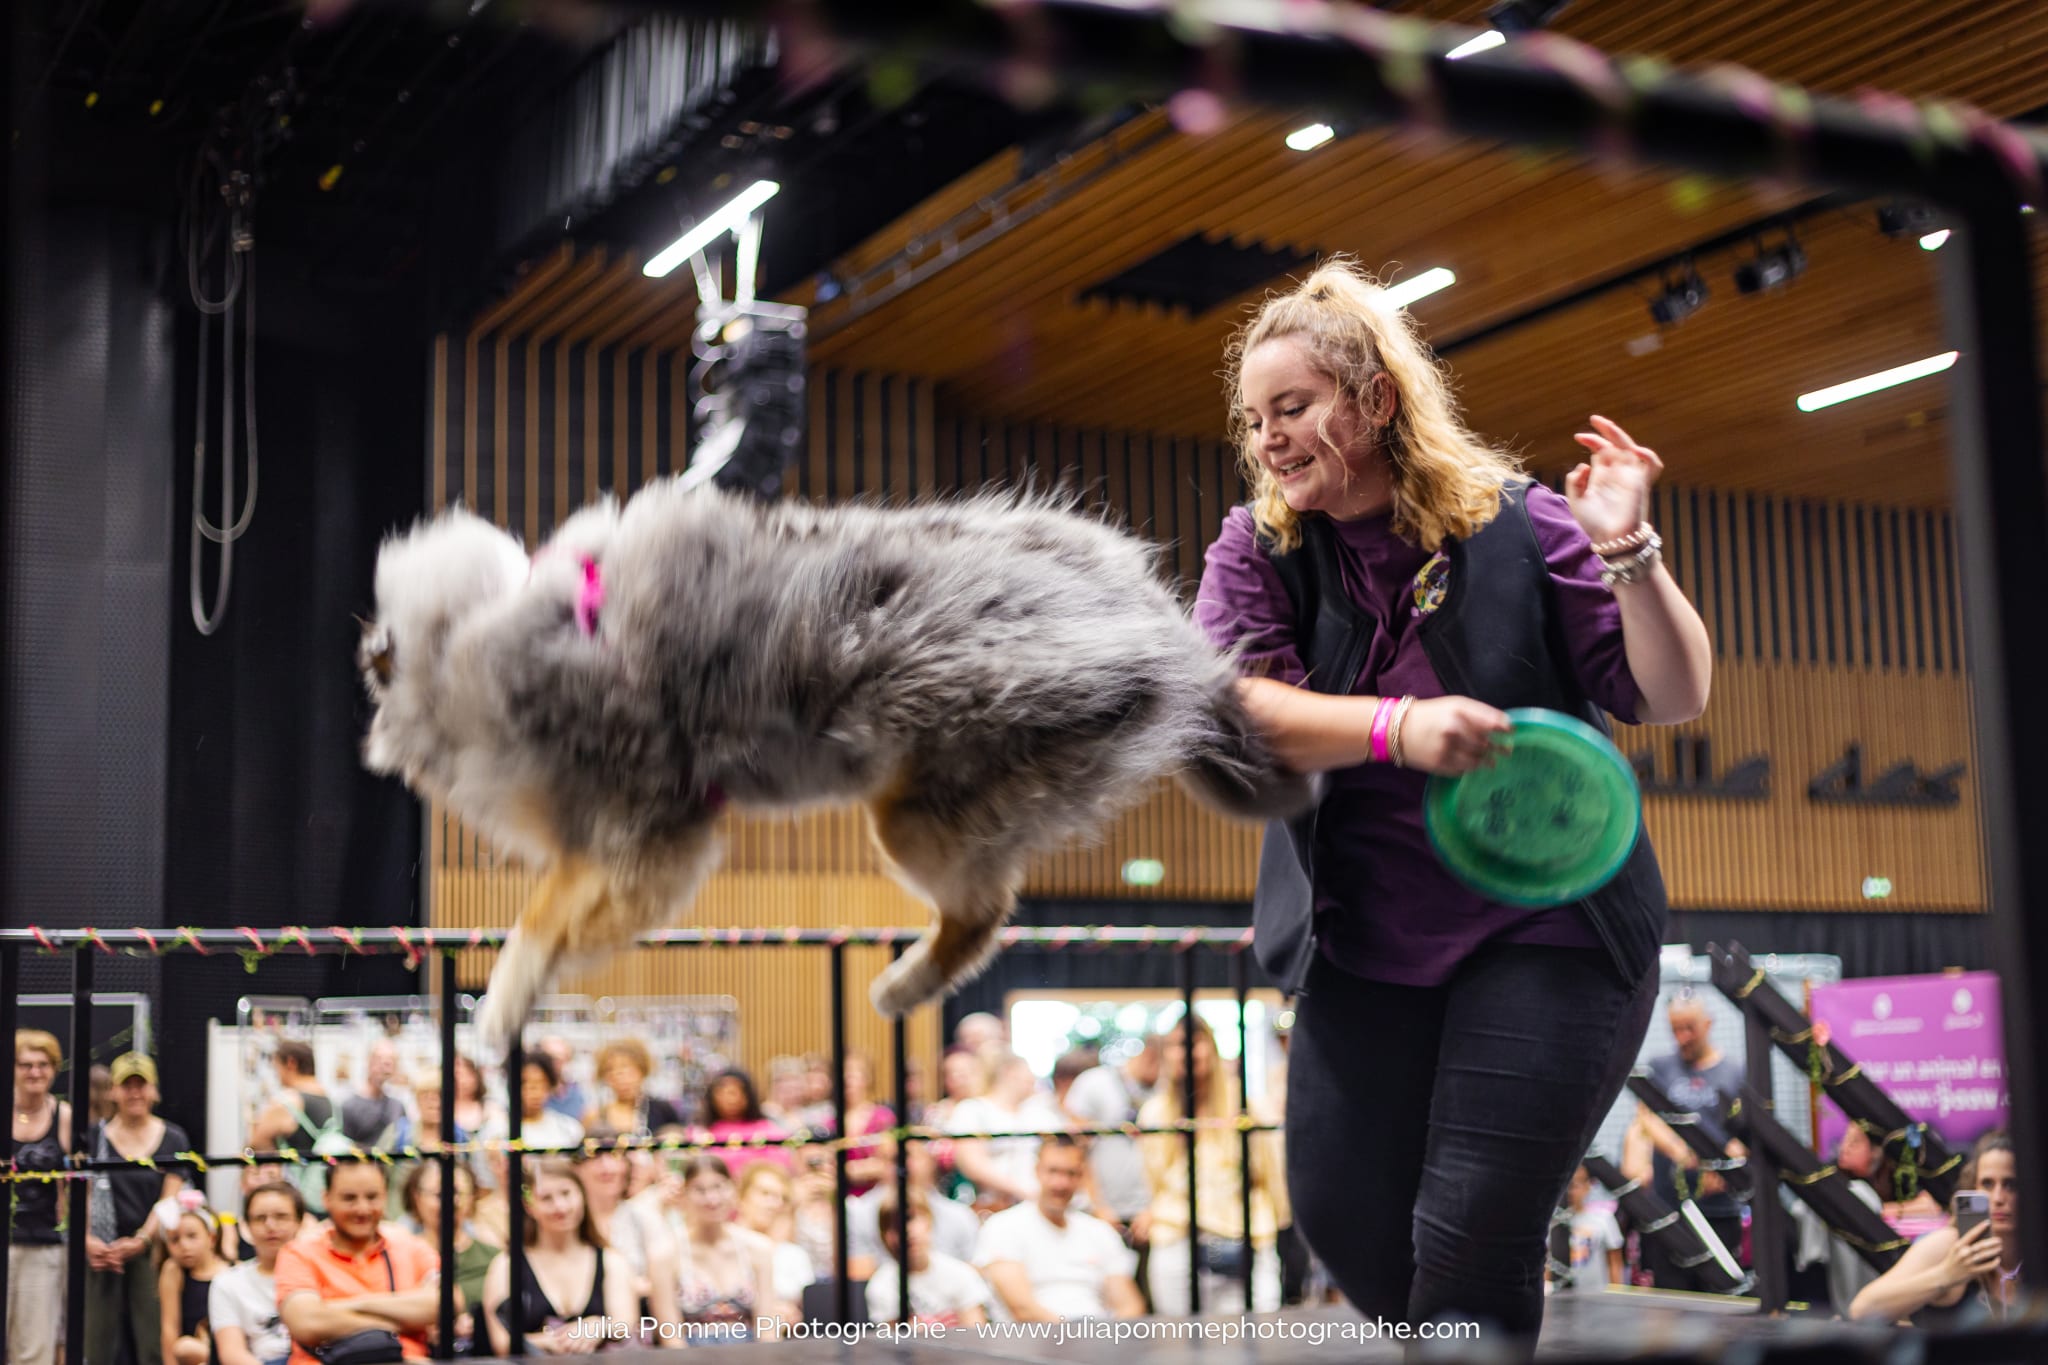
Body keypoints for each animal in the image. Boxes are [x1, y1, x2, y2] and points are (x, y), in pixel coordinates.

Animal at [360, 474, 1310, 1055]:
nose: (369, 657)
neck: (497, 635)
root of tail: (1156, 633)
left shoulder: (645, 834)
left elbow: (540, 923)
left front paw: (503, 1006)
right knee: (985, 910)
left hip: (920, 814)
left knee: (983, 912)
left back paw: (899, 983)